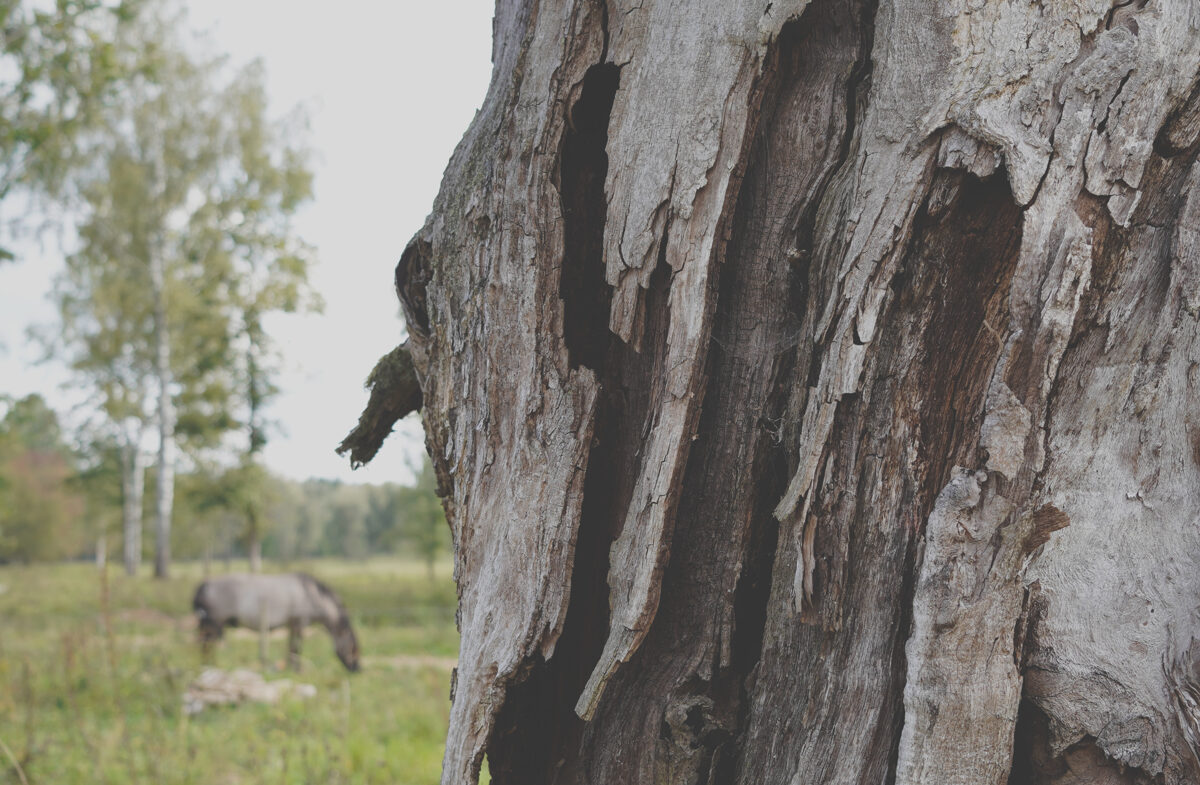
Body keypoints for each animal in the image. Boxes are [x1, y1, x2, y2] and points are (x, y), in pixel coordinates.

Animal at [189, 576, 360, 672]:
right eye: (353, 648)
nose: (358, 669)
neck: (309, 594)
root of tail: (204, 586)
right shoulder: (299, 624)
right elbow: (296, 648)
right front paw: (296, 669)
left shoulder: (292, 626)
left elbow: (291, 648)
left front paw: (291, 668)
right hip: (212, 626)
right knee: (207, 646)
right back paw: (209, 666)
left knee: (205, 647)